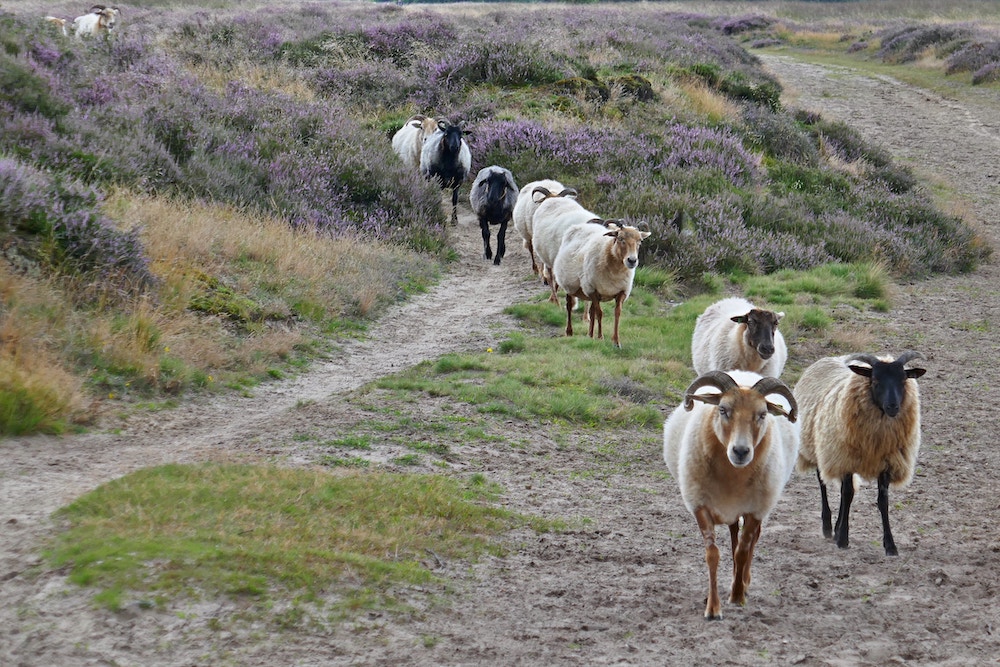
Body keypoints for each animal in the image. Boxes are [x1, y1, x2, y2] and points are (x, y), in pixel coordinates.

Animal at [552, 223, 652, 352]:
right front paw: (600, 337)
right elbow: (600, 314)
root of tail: (582, 225)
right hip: (570, 285)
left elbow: (617, 313)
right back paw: (569, 331)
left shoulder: (621, 292)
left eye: (640, 241)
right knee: (569, 306)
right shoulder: (592, 290)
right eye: (620, 238)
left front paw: (616, 342)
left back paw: (590, 335)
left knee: (591, 311)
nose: (632, 260)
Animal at [664, 370, 796, 620]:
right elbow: (713, 554)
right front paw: (713, 608)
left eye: (762, 414)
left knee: (749, 541)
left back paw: (744, 581)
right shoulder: (700, 505)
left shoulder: (755, 510)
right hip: (731, 510)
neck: (732, 475)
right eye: (723, 409)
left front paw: (737, 596)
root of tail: (745, 373)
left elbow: (743, 551)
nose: (741, 451)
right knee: (735, 535)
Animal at [792, 352, 924, 556]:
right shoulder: (845, 457)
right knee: (823, 483)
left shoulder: (887, 462)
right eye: (875, 380)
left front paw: (890, 545)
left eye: (903, 380)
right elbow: (847, 494)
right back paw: (828, 527)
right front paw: (843, 539)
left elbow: (882, 500)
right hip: (822, 449)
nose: (893, 407)